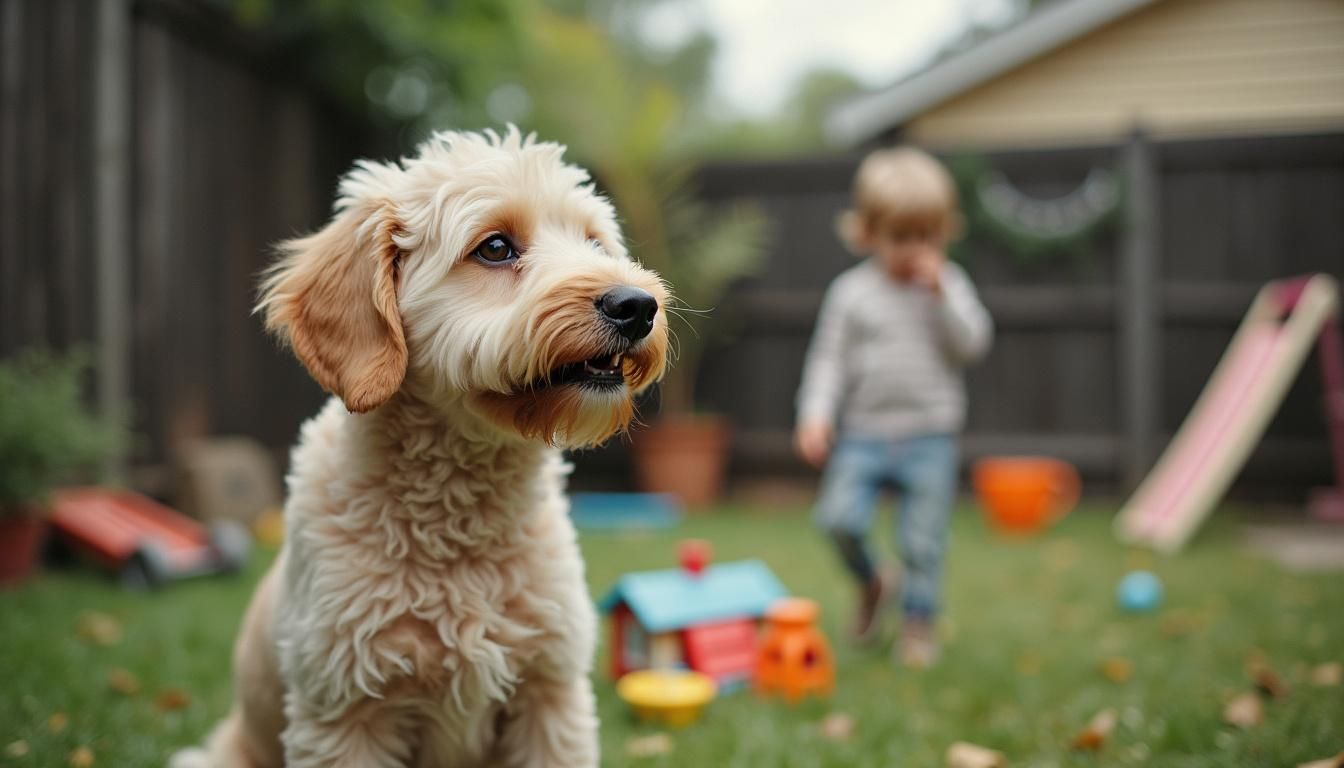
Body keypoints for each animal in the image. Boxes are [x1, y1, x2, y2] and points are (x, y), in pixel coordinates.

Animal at [170, 129, 669, 768]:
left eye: (593, 241)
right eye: (496, 247)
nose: (637, 306)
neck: (461, 523)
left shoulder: (550, 695)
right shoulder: (345, 713)